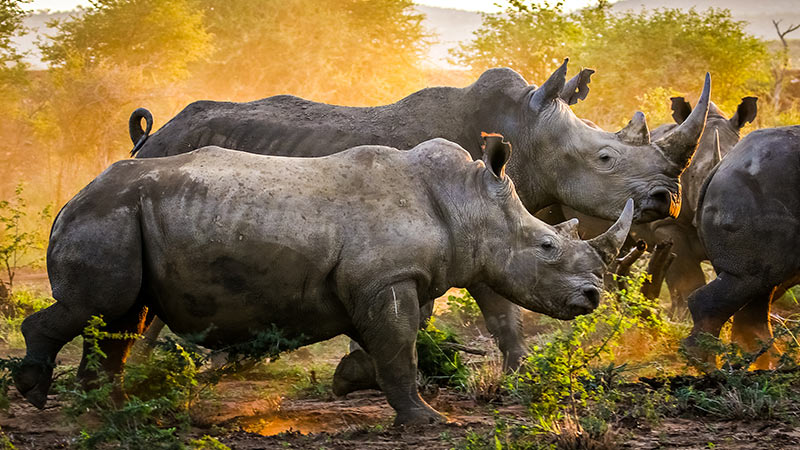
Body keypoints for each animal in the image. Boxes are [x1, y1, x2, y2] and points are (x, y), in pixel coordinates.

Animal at [14, 137, 632, 426]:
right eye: (547, 247)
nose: (592, 297)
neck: (467, 203)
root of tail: (73, 198)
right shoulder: (386, 278)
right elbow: (399, 348)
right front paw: (427, 420)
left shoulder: (389, 279)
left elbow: (392, 343)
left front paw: (350, 381)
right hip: (108, 216)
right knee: (99, 305)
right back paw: (36, 393)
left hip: (125, 217)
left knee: (120, 315)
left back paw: (108, 410)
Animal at [130, 59, 712, 372]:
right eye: (605, 158)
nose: (667, 199)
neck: (524, 132)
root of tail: (150, 137)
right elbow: (473, 305)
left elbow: (496, 308)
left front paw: (515, 372)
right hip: (172, 160)